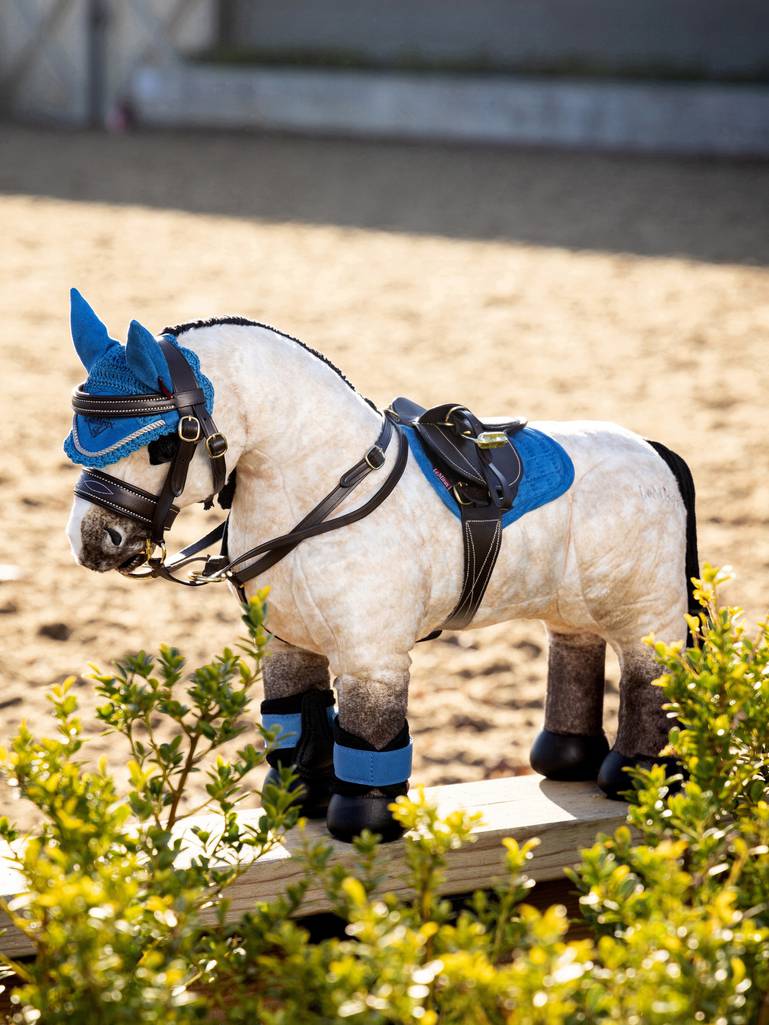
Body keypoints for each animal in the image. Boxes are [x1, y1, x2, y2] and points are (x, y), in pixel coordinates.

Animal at [64, 290, 698, 843]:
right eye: (77, 438)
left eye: (163, 444)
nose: (92, 542)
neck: (322, 488)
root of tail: (651, 448)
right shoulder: (287, 644)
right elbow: (298, 718)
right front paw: (299, 799)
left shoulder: (372, 658)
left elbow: (369, 736)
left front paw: (363, 824)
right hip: (573, 603)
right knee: (575, 648)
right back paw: (566, 759)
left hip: (647, 612)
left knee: (648, 675)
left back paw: (639, 774)